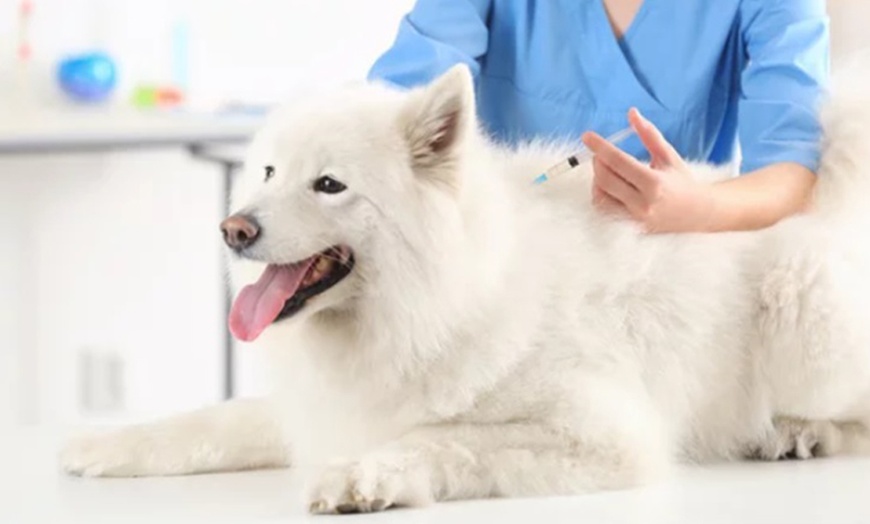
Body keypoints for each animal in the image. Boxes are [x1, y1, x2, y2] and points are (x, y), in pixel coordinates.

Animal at [64, 63, 870, 512]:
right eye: (267, 172)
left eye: (329, 185)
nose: (233, 230)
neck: (431, 302)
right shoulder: (327, 404)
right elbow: (211, 422)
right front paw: (104, 444)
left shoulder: (605, 434)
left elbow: (444, 439)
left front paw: (364, 476)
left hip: (803, 305)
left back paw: (799, 432)